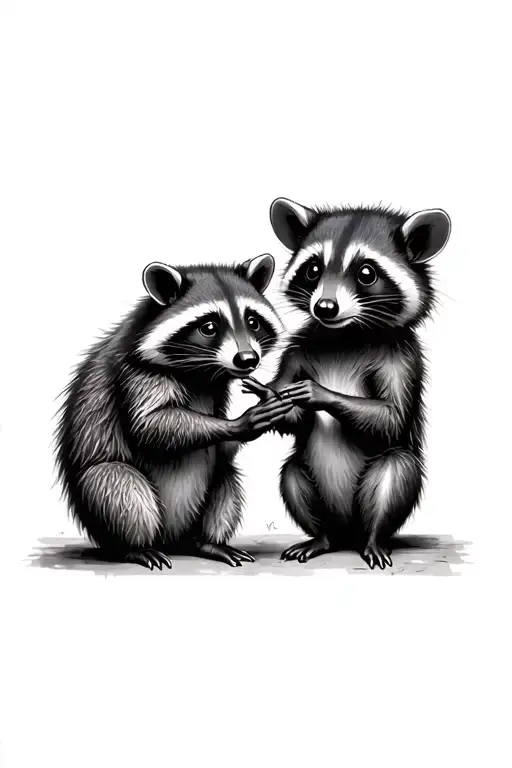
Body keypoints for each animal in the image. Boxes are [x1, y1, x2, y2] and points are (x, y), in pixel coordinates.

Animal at [55, 254, 292, 569]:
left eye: (252, 322)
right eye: (209, 328)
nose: (247, 359)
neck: (202, 372)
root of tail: (173, 539)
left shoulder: (217, 389)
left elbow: (221, 450)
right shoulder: (136, 372)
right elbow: (149, 424)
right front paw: (241, 422)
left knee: (225, 478)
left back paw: (207, 542)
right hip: (106, 497)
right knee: (119, 484)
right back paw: (134, 547)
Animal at [245, 198, 451, 569]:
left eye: (366, 273)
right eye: (313, 270)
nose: (324, 307)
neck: (345, 334)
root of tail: (347, 534)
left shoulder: (401, 357)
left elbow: (391, 417)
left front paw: (321, 393)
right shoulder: (296, 351)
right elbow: (292, 415)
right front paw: (272, 397)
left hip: (383, 491)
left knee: (394, 471)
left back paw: (373, 538)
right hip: (313, 489)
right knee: (293, 475)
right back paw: (321, 538)